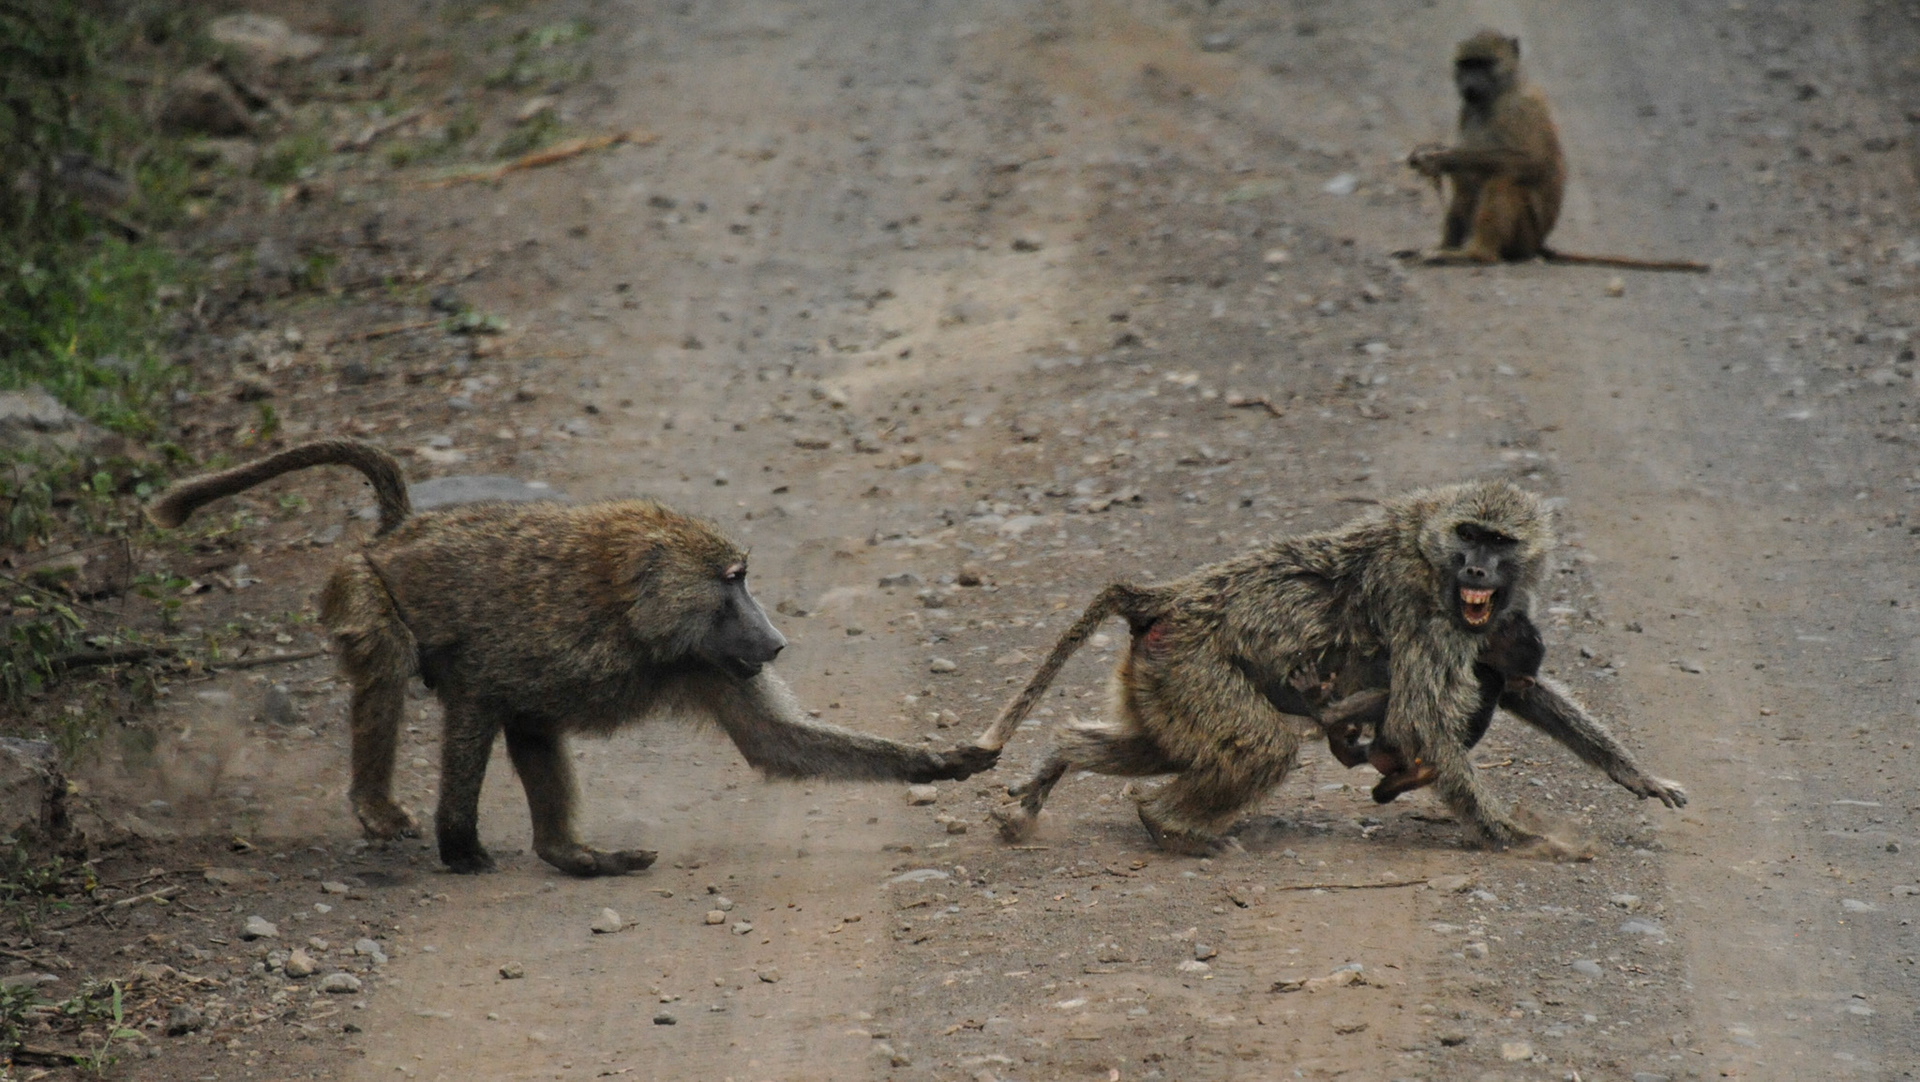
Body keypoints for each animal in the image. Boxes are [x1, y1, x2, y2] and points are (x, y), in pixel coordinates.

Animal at [148, 440, 998, 877]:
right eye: (734, 581)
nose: (775, 641)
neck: (627, 615)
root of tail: (397, 534)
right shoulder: (525, 648)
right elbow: (475, 702)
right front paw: (459, 844)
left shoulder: (704, 662)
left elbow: (776, 743)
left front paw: (943, 762)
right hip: (361, 586)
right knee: (390, 669)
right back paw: (377, 804)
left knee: (533, 728)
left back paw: (575, 855)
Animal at [973, 480, 1685, 856]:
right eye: (1469, 534)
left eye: (1499, 540)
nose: (1478, 571)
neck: (1427, 550)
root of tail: (1166, 599)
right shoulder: (1425, 613)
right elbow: (1422, 718)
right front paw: (1517, 835)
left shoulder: (1501, 630)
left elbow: (1518, 685)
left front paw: (1639, 777)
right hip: (1192, 666)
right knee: (1261, 748)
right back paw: (1171, 825)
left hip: (1160, 680)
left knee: (1160, 748)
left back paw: (1055, 774)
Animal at [1405, 30, 1709, 273]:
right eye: (1466, 64)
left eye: (1484, 63)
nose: (1469, 84)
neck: (1499, 93)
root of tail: (1540, 244)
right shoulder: (1466, 111)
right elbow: (1466, 181)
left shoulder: (1521, 107)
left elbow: (1527, 161)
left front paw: (1442, 158)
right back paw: (1444, 249)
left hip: (1525, 236)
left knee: (1504, 178)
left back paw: (1476, 255)